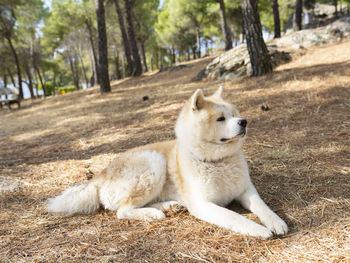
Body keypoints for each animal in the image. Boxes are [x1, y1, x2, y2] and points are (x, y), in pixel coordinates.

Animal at [47, 87, 288, 239]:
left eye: (236, 114)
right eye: (221, 118)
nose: (244, 122)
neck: (217, 161)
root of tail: (100, 175)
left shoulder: (246, 190)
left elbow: (262, 206)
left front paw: (276, 222)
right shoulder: (203, 205)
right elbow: (234, 217)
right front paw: (258, 230)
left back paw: (168, 206)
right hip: (154, 163)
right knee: (123, 210)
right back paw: (153, 213)